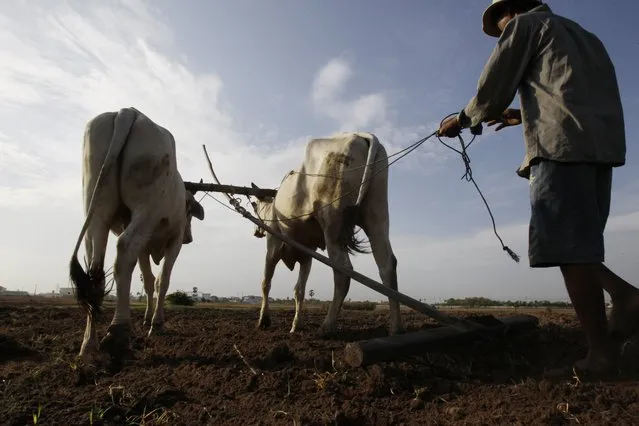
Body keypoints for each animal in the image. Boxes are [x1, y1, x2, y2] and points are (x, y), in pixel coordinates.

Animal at [68, 106, 204, 360]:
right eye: (190, 213)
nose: (189, 238)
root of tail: (128, 111)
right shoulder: (173, 242)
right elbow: (162, 281)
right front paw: (156, 323)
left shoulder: (146, 246)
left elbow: (149, 282)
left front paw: (148, 319)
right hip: (145, 210)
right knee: (123, 249)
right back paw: (118, 331)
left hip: (96, 206)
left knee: (96, 268)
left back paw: (89, 344)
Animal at [251, 131, 404, 338]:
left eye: (256, 206)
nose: (256, 232)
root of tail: (359, 134)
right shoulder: (307, 256)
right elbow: (299, 290)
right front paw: (295, 326)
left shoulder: (273, 246)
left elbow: (266, 283)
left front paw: (263, 321)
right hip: (377, 217)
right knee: (387, 265)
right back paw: (396, 328)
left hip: (332, 224)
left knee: (343, 271)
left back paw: (327, 327)